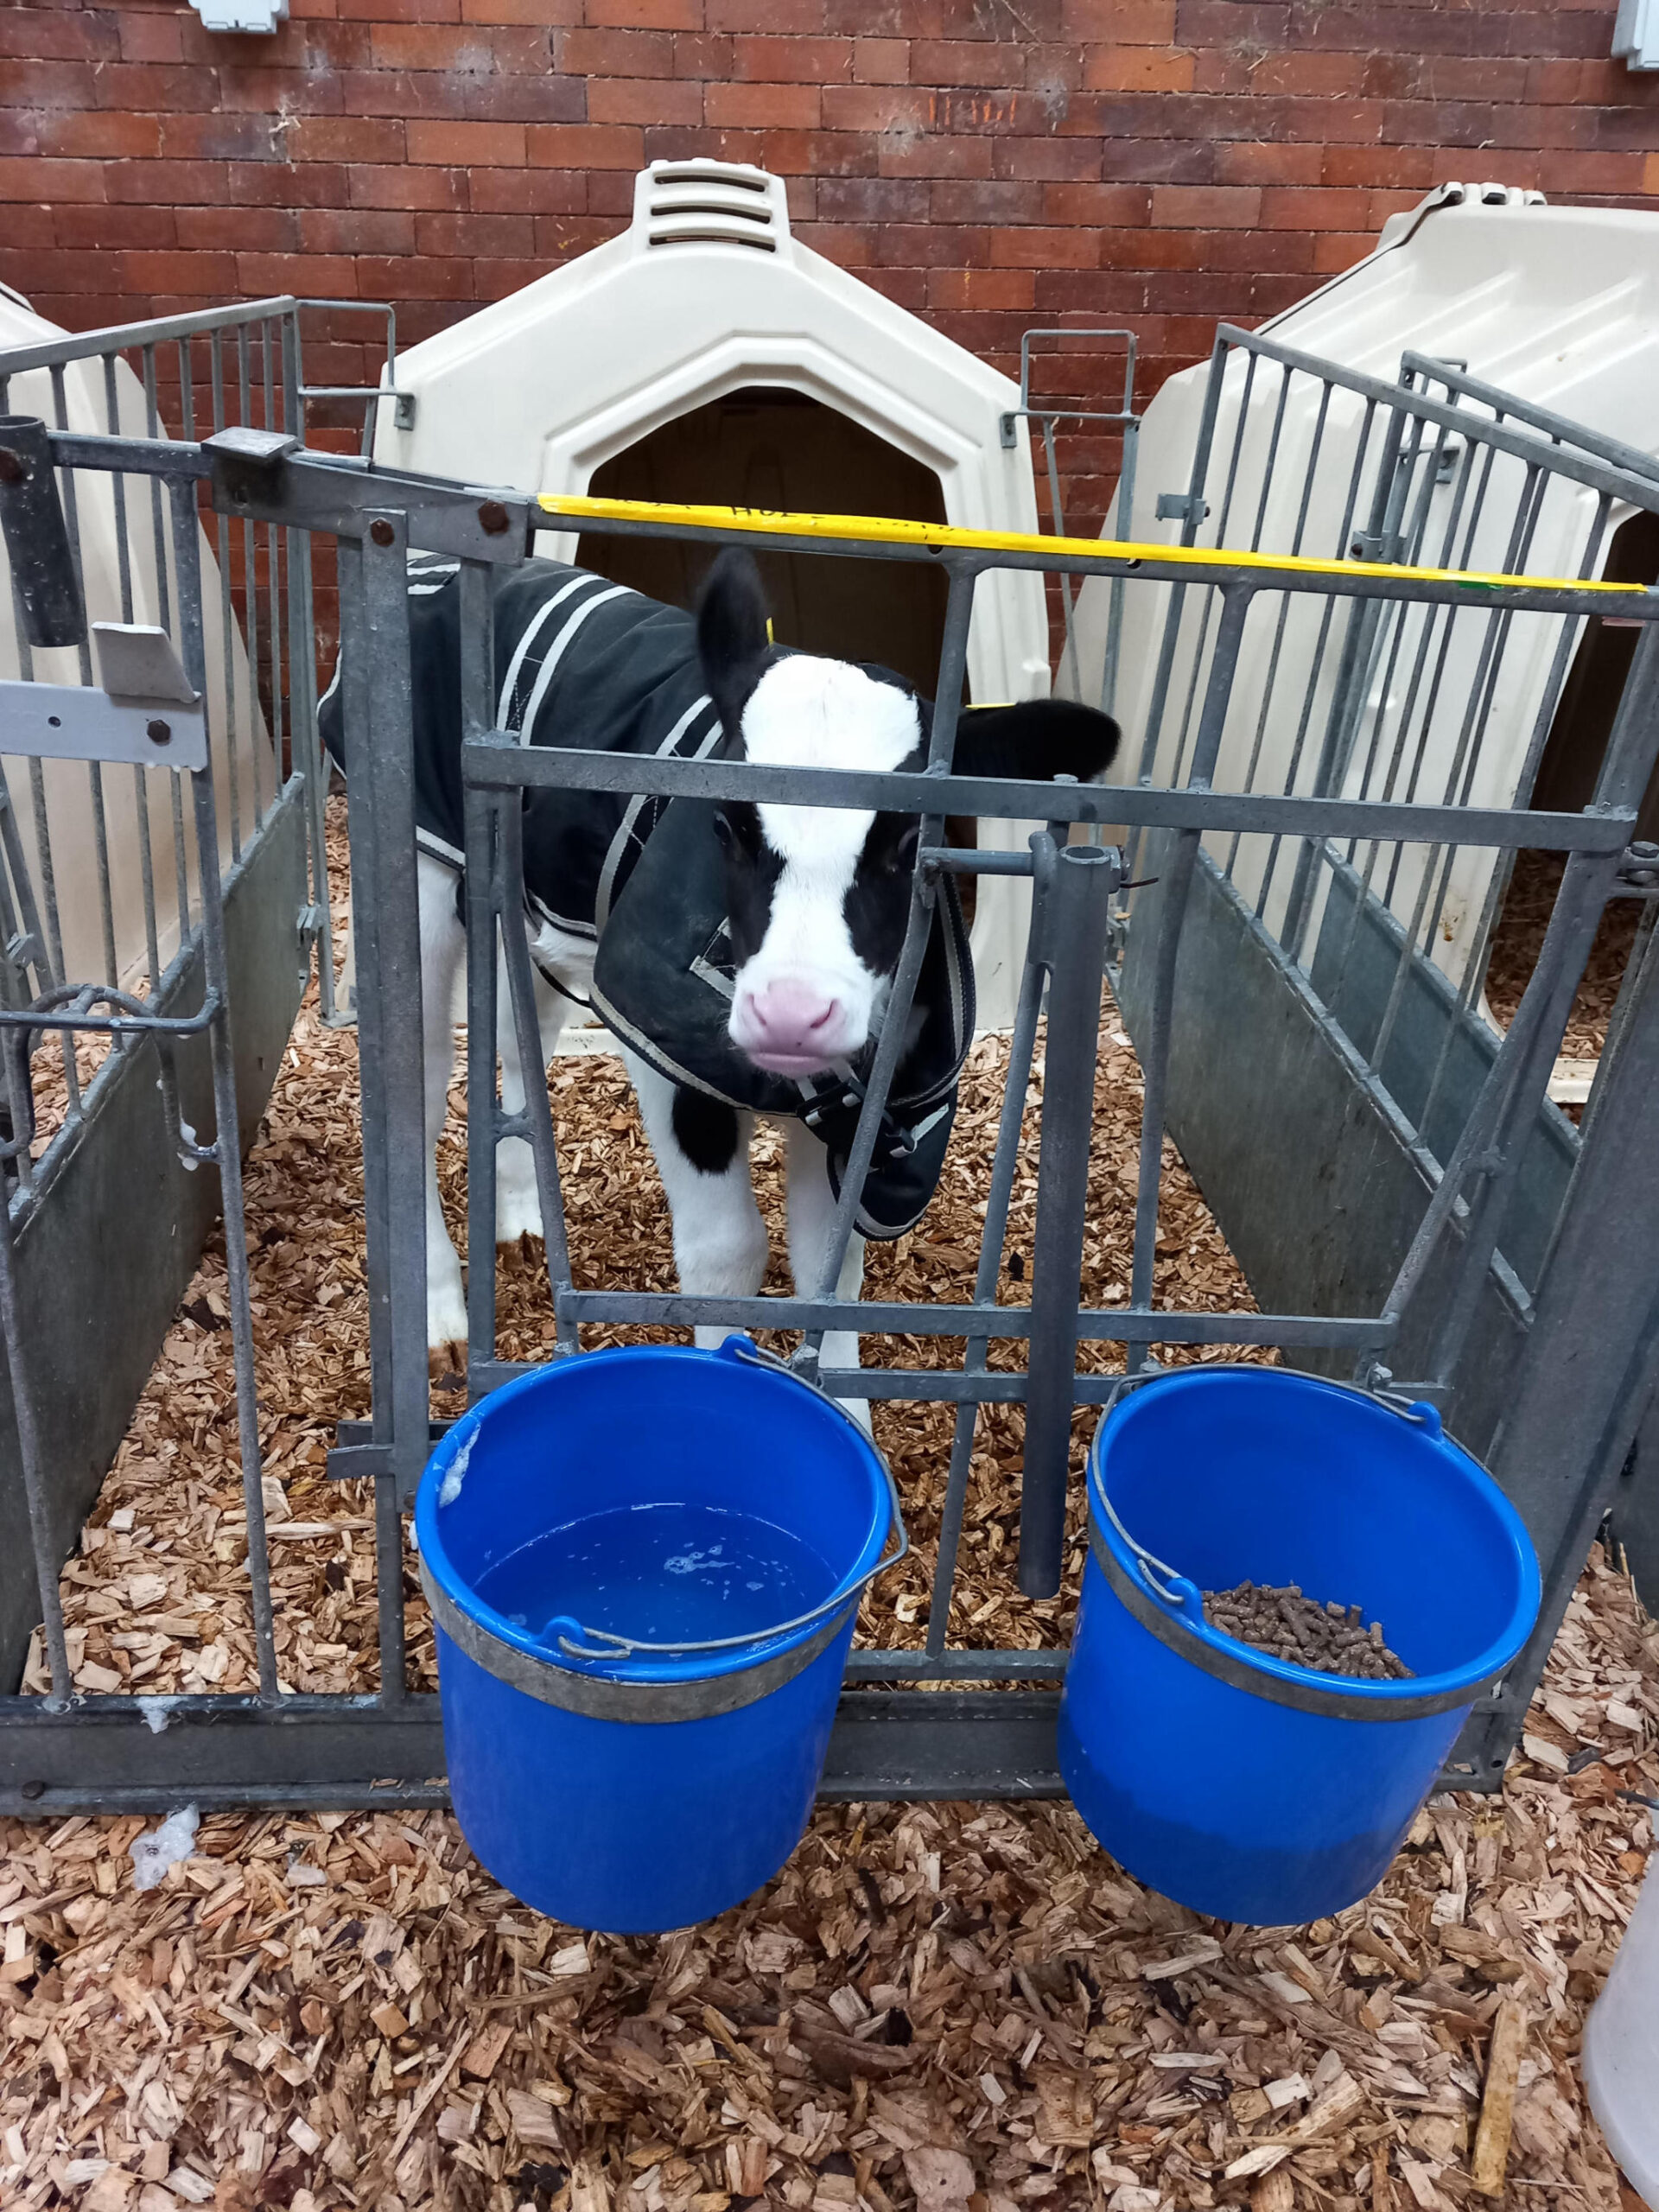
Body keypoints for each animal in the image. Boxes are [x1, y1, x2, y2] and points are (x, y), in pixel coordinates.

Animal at [321, 547, 1120, 1421]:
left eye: (912, 843)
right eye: (726, 825)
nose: (791, 1014)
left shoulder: (860, 1107)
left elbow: (830, 1266)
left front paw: (850, 1421)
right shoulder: (659, 1042)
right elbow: (726, 1251)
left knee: (515, 1027)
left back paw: (522, 1217)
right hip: (419, 868)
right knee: (415, 1092)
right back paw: (438, 1318)